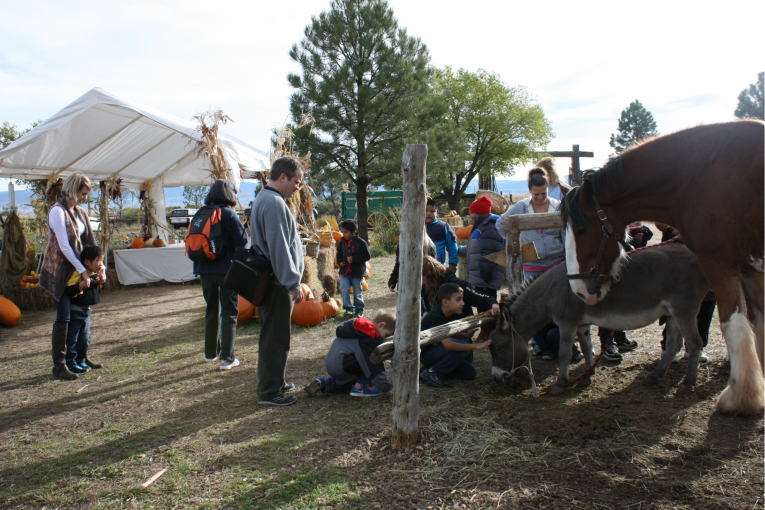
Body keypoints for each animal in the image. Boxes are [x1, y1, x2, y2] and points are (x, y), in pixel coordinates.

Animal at [560, 121, 764, 416]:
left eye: (581, 229)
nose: (578, 290)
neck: (698, 175)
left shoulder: (720, 266)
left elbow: (734, 326)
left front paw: (740, 398)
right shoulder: (751, 272)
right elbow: (759, 325)